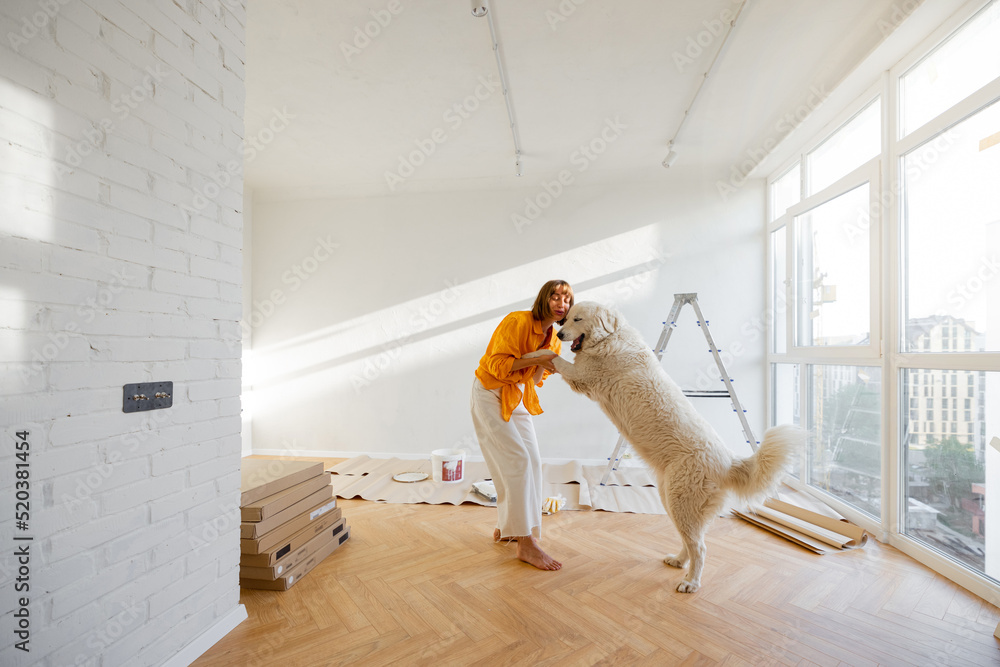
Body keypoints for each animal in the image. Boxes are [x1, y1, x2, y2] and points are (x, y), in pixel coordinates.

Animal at [532, 302, 804, 596]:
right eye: (566, 318)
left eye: (578, 319)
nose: (559, 334)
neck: (611, 338)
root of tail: (728, 462)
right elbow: (555, 357)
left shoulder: (583, 375)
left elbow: (553, 357)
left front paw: (532, 353)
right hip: (672, 500)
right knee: (690, 541)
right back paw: (678, 561)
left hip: (681, 502)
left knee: (701, 547)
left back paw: (691, 582)